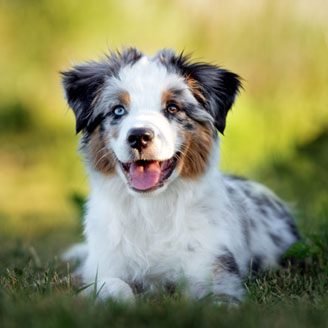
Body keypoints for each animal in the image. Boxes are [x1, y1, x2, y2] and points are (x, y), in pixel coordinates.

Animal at [61, 47, 300, 304]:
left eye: (173, 108)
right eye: (118, 110)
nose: (138, 137)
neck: (151, 210)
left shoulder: (216, 269)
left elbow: (217, 299)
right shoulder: (102, 267)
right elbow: (113, 286)